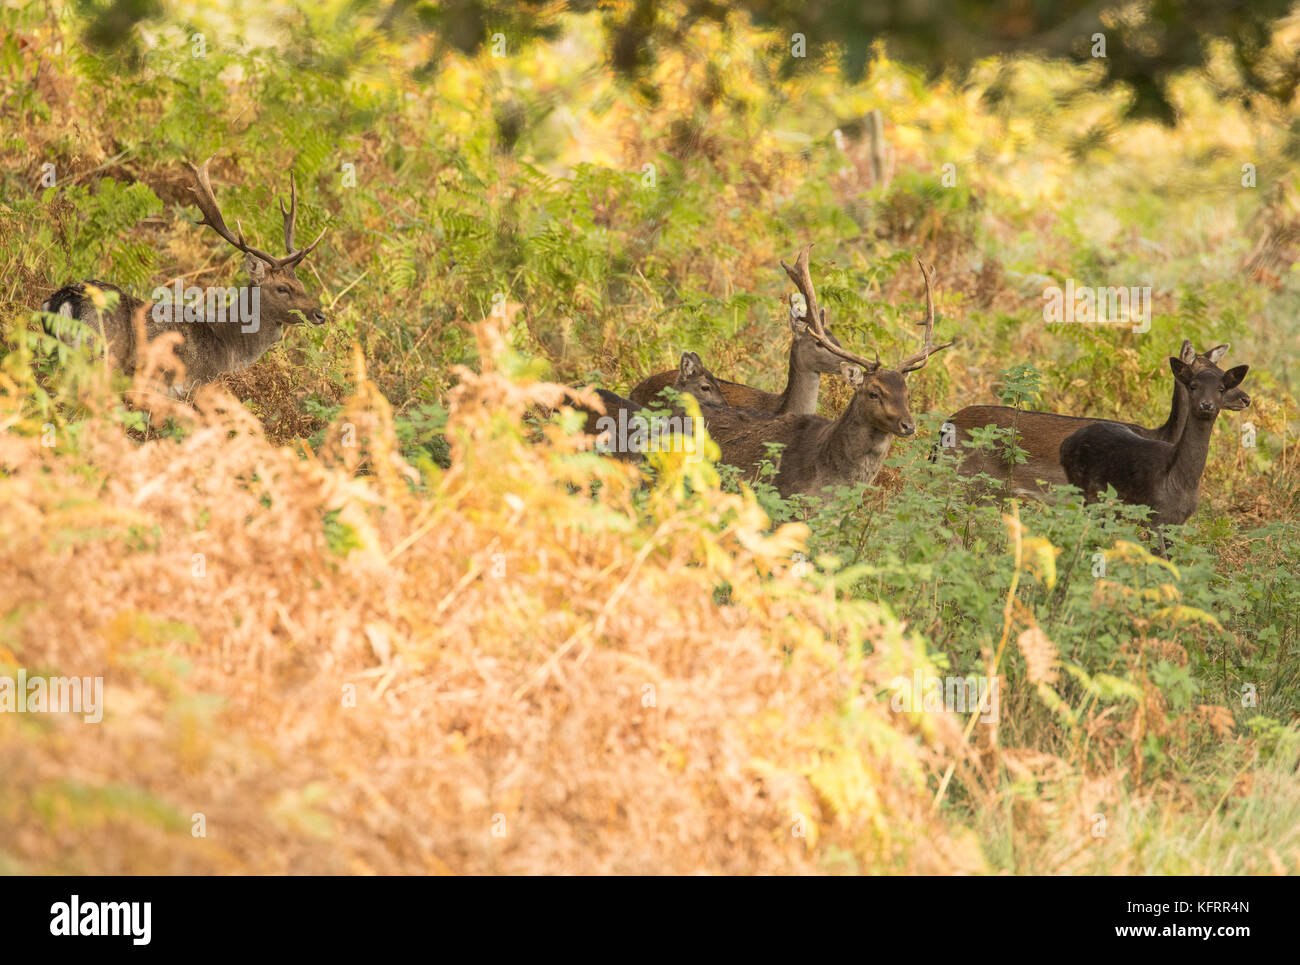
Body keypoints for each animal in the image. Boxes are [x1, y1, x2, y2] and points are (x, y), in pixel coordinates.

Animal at [40, 156, 328, 395]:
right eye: (282, 288)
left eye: (300, 282)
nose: (320, 314)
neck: (230, 348)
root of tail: (64, 301)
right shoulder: (196, 385)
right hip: (102, 355)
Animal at [943, 341, 1251, 496]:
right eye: (1198, 376)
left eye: (1222, 371)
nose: (1246, 399)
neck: (1161, 435)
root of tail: (947, 424)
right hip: (965, 480)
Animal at [1060, 358, 1250, 552]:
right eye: (1193, 386)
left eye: (1221, 388)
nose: (1206, 404)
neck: (1179, 482)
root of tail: (1066, 443)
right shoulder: (1154, 515)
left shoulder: (1177, 522)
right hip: (1082, 491)